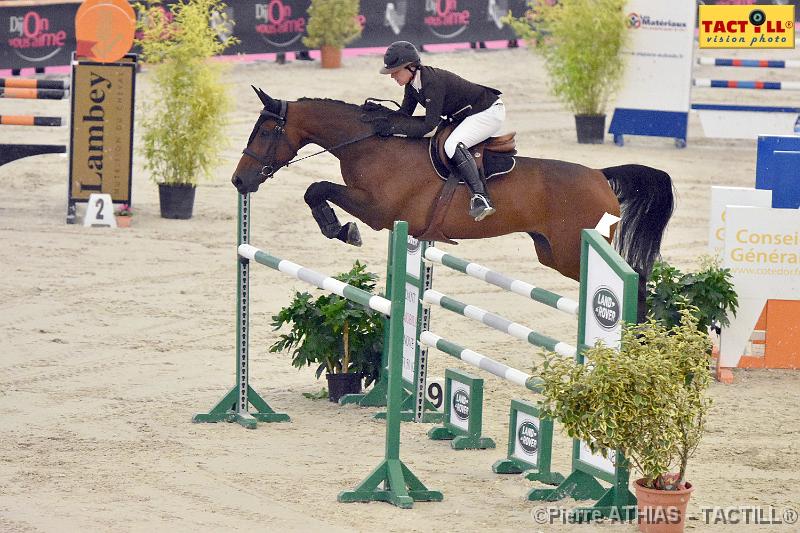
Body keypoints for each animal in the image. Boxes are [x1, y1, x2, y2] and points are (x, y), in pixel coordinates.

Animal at [231, 87, 676, 320]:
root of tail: (600, 175)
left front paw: (341, 229)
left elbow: (317, 189)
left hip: (574, 253)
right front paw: (337, 228)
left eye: (265, 131)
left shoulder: (378, 211)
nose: (239, 180)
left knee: (635, 280)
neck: (371, 146)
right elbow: (315, 190)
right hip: (552, 253)